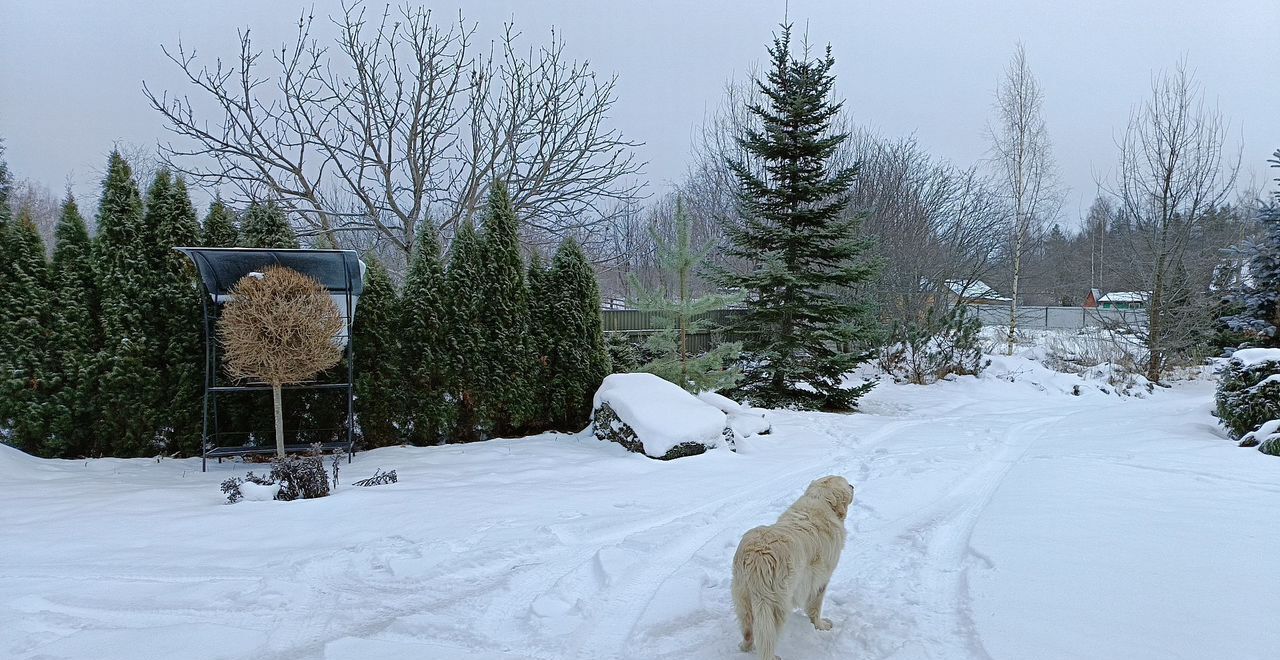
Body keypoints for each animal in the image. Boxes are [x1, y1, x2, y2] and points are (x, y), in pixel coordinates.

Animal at [737, 473, 855, 660]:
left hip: (743, 596)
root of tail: (758, 555)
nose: (853, 486)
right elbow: (815, 607)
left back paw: (744, 647)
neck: (821, 501)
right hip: (775, 604)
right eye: (846, 484)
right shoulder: (820, 579)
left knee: (748, 631)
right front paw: (821, 626)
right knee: (768, 639)